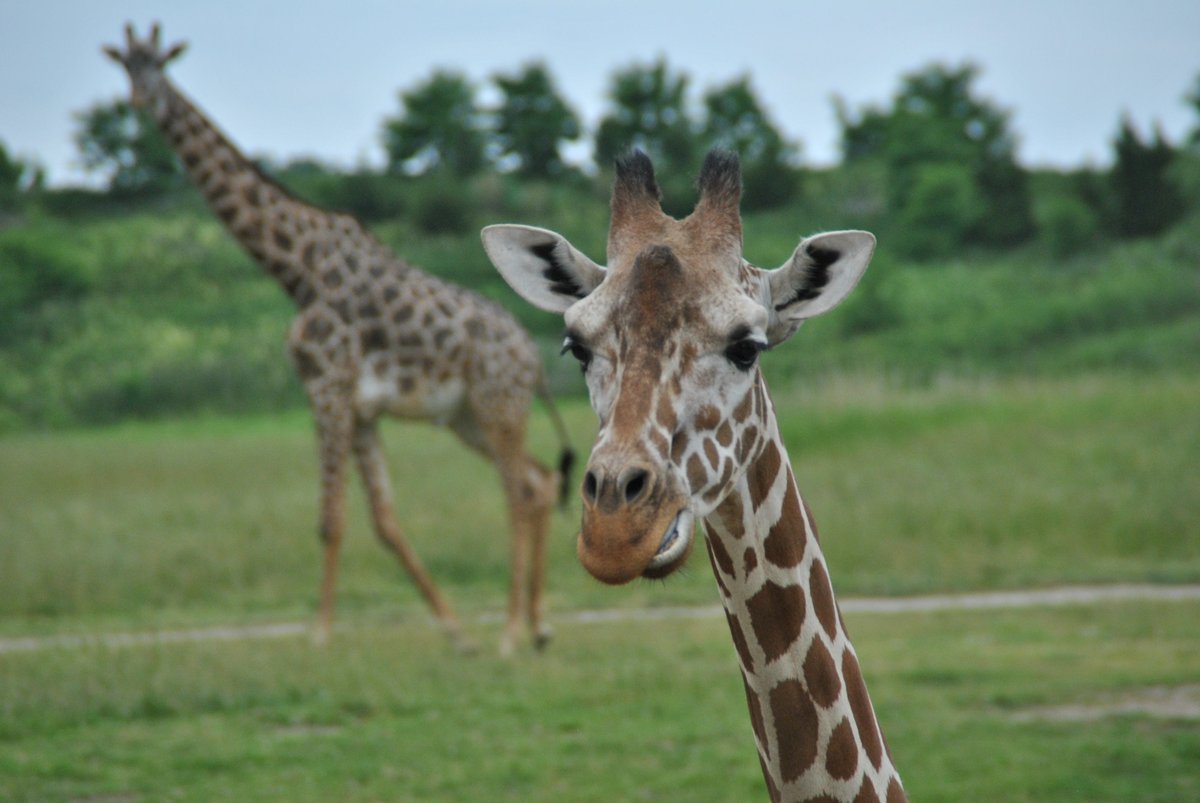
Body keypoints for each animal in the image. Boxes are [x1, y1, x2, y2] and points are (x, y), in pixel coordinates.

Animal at [104, 23, 573, 655]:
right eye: (126, 67)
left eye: (157, 66)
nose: (137, 101)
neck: (295, 269)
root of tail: (533, 358)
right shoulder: (359, 407)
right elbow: (383, 521)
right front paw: (453, 632)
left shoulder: (326, 386)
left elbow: (331, 518)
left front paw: (319, 635)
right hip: (468, 416)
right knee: (541, 481)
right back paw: (537, 627)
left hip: (496, 404)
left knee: (520, 492)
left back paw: (508, 634)